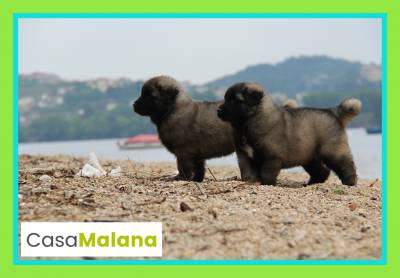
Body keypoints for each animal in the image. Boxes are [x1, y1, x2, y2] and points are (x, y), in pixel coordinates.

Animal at [217, 82, 360, 187]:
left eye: (235, 100)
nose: (218, 110)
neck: (248, 122)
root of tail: (333, 112)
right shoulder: (244, 155)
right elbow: (247, 170)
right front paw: (249, 181)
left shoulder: (272, 157)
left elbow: (266, 173)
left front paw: (266, 184)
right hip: (309, 157)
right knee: (322, 172)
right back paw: (310, 184)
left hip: (331, 151)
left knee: (345, 165)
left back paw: (349, 182)